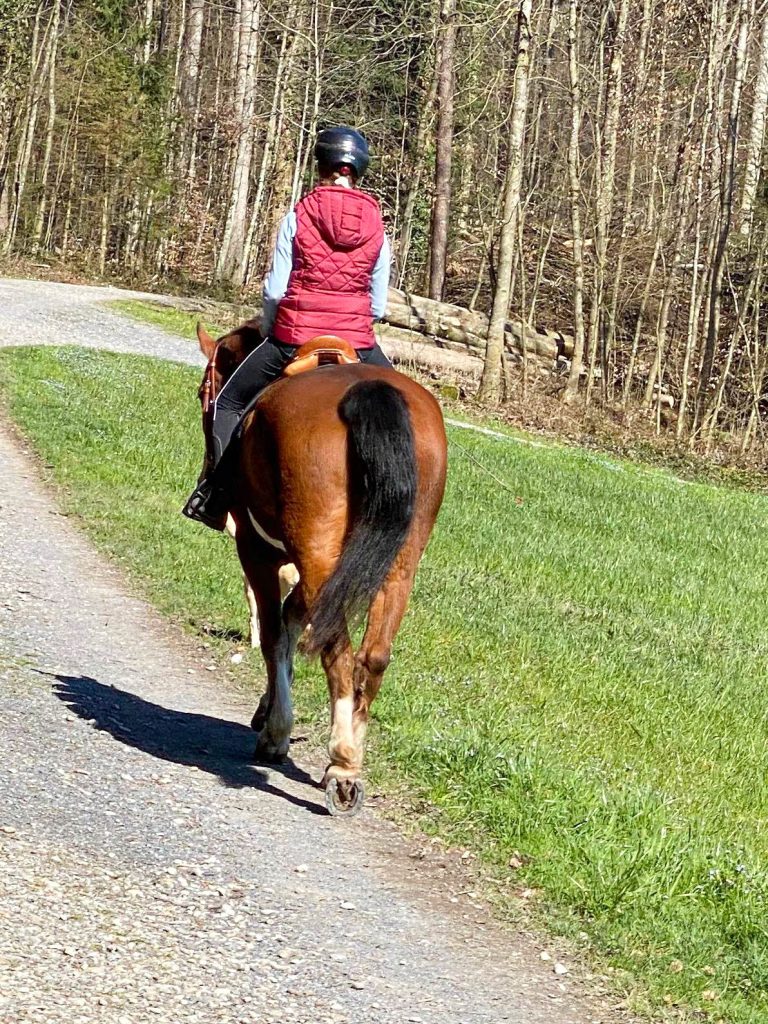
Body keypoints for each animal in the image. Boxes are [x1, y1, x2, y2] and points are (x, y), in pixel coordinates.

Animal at [194, 323, 447, 815]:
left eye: (202, 392)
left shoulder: (258, 551)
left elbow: (274, 633)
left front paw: (275, 730)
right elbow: (292, 620)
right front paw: (268, 711)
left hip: (315, 551)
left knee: (336, 648)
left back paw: (342, 766)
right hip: (397, 564)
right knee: (372, 657)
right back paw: (352, 755)